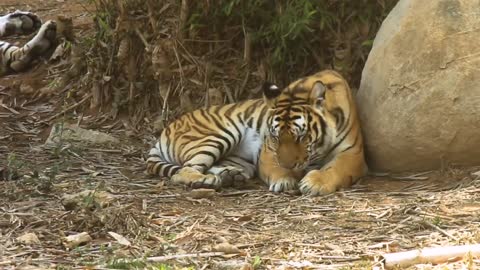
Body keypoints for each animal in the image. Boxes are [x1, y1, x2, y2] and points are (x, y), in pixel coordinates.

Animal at [146, 69, 368, 196]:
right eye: (276, 137)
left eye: (301, 137)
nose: (289, 165)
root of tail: (167, 128)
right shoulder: (268, 152)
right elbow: (276, 168)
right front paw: (285, 180)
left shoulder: (353, 154)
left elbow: (335, 169)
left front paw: (315, 184)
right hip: (221, 133)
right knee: (183, 171)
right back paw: (206, 181)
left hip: (238, 158)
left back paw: (231, 176)